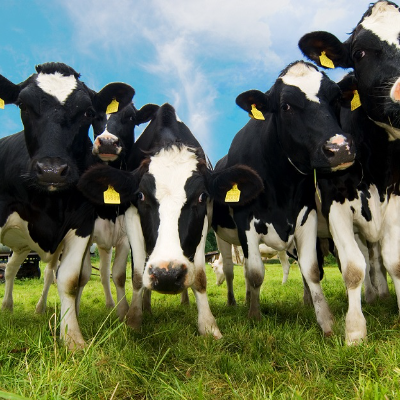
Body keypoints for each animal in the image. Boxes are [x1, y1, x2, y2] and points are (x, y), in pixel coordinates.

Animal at [0, 61, 134, 346]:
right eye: (23, 105)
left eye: (86, 112)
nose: (51, 170)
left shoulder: (82, 225)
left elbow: (71, 279)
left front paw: (73, 338)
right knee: (17, 271)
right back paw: (16, 307)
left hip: (25, 246)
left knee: (17, 269)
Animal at [78, 103, 266, 338]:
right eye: (141, 195)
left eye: (201, 196)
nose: (167, 275)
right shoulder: (130, 217)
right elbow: (137, 275)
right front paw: (134, 320)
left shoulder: (205, 219)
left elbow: (200, 276)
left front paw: (208, 325)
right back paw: (146, 307)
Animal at [211, 60, 354, 338]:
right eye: (286, 106)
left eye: (335, 98)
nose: (340, 148)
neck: (281, 183)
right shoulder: (245, 221)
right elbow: (256, 273)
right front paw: (254, 317)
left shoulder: (305, 216)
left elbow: (312, 270)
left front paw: (326, 322)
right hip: (223, 237)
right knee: (232, 270)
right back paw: (234, 301)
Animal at [298, 0, 400, 344]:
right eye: (360, 53)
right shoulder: (335, 203)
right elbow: (353, 267)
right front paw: (354, 330)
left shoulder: (396, 196)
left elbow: (393, 261)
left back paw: (378, 295)